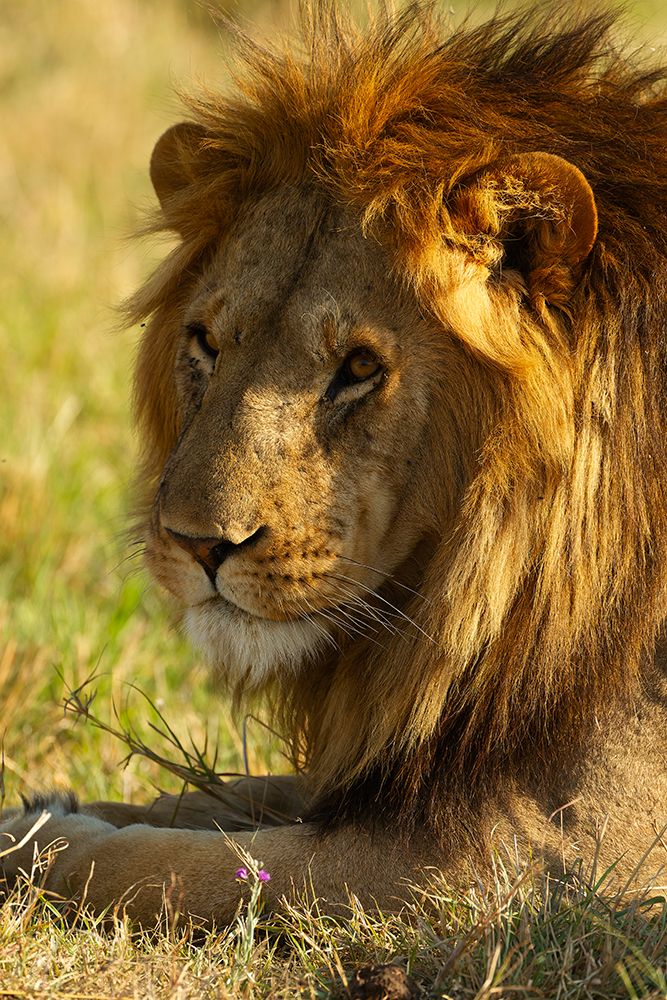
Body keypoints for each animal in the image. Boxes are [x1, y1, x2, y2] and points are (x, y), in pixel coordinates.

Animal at [2, 3, 667, 927]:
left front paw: (43, 843)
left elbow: (181, 864)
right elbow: (223, 797)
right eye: (206, 342)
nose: (198, 545)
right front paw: (42, 806)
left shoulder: (547, 861)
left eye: (357, 367)